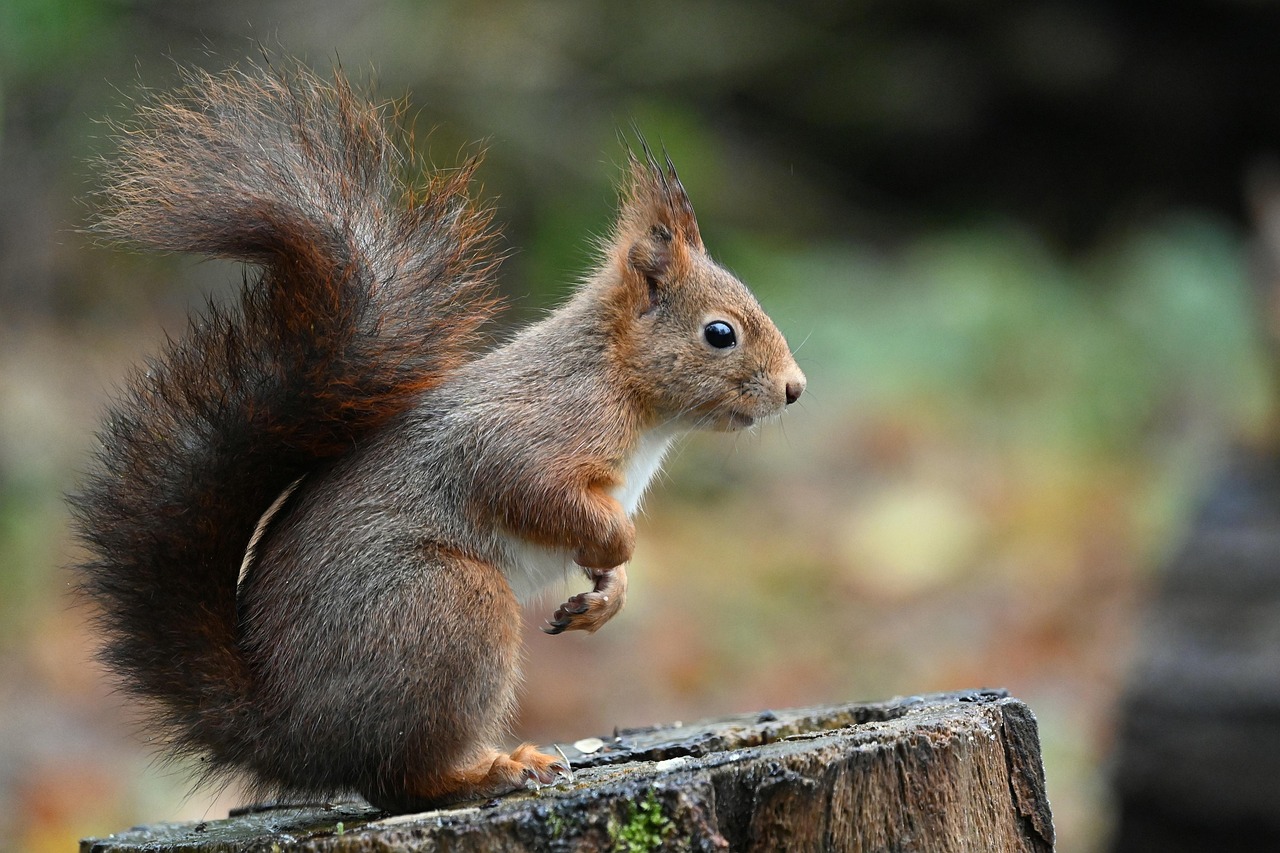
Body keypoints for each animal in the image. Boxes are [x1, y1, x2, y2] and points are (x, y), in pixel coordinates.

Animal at [71, 60, 806, 813]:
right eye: (720, 333)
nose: (794, 388)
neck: (623, 384)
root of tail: (291, 731)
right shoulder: (536, 430)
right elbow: (531, 487)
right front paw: (617, 547)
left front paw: (605, 596)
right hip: (450, 606)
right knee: (404, 779)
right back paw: (495, 770)